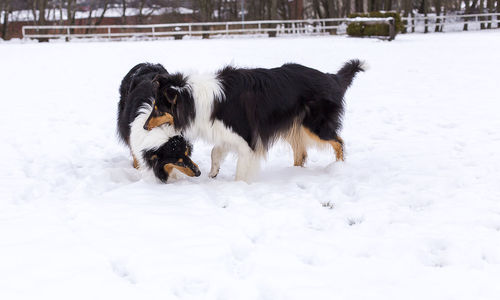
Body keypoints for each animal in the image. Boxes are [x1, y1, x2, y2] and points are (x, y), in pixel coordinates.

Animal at [143, 59, 366, 180]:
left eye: (158, 109)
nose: (144, 127)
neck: (195, 100)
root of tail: (332, 78)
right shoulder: (226, 131)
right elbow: (216, 151)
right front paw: (214, 172)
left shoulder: (246, 137)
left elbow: (242, 167)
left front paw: (239, 185)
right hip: (294, 125)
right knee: (301, 153)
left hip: (314, 125)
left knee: (338, 142)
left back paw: (339, 168)